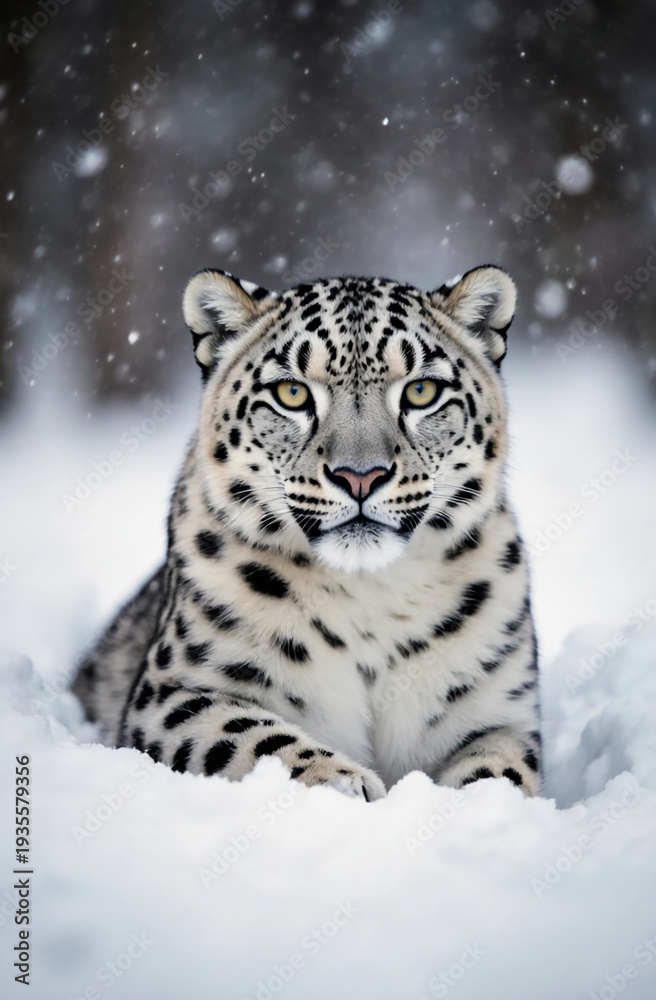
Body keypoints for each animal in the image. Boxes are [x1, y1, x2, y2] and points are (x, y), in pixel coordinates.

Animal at [72, 264, 541, 801]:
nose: (360, 475)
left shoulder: (500, 712)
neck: (370, 596)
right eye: (291, 393)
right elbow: (249, 735)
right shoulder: (174, 690)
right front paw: (344, 784)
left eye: (422, 391)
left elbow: (502, 771)